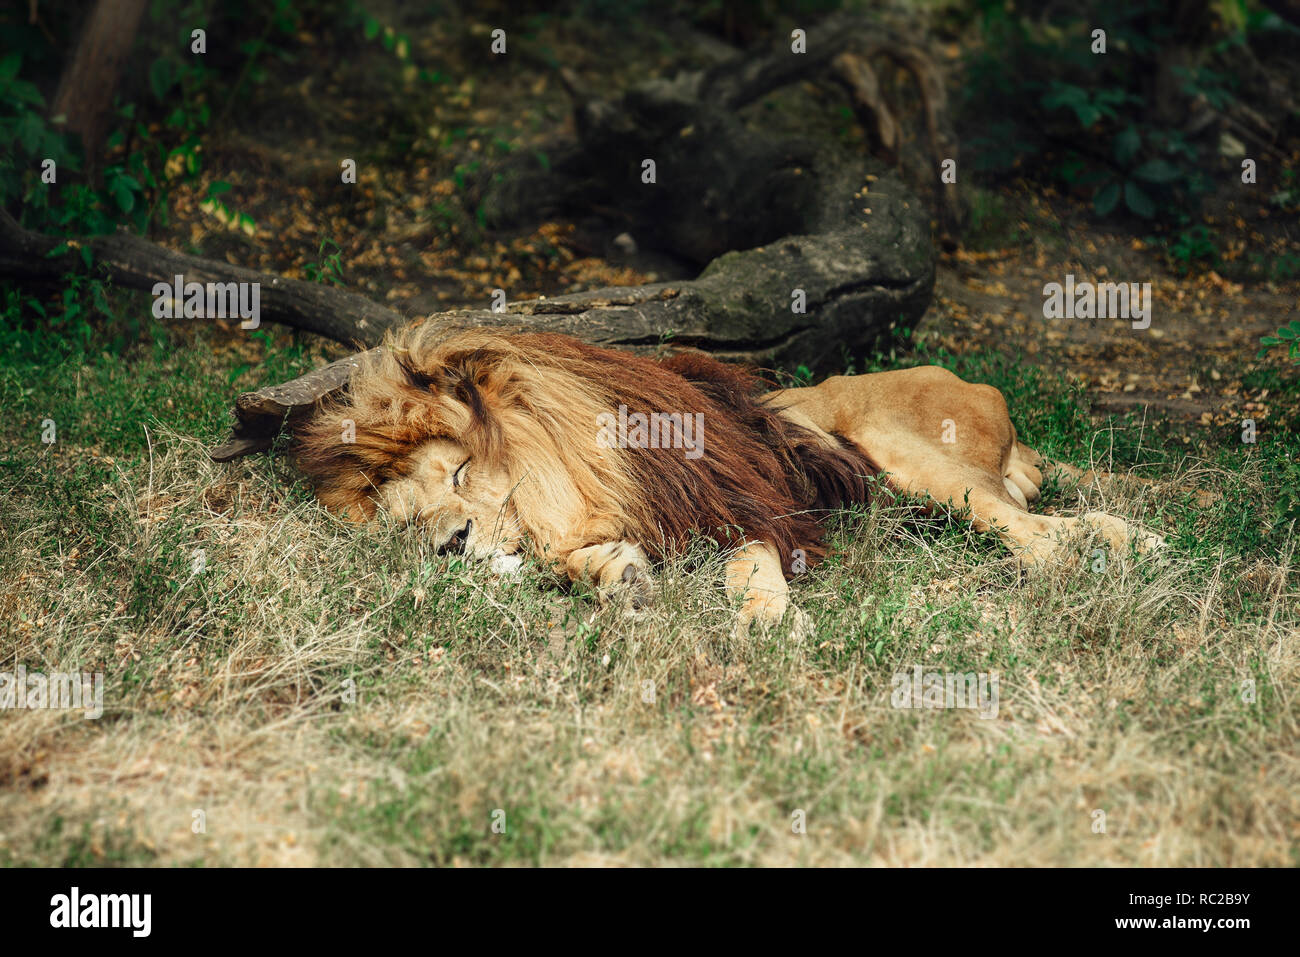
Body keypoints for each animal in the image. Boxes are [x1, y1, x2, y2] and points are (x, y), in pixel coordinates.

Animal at [294, 325, 1162, 631]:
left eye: (464, 469)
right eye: (411, 520)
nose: (454, 541)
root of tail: (976, 381)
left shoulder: (746, 504)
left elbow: (748, 566)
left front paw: (767, 620)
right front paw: (619, 577)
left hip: (904, 453)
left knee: (1032, 526)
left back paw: (1100, 558)